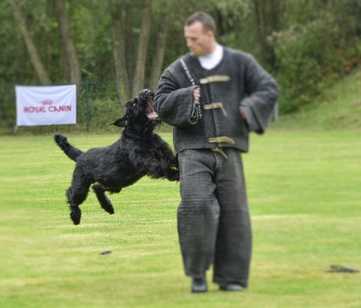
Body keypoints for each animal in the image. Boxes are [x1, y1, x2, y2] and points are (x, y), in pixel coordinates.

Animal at [54, 88, 178, 224]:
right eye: (133, 104)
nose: (146, 91)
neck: (144, 135)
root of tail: (81, 155)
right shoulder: (149, 163)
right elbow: (164, 168)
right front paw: (177, 175)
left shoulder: (167, 156)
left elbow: (173, 161)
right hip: (82, 185)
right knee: (71, 195)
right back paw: (75, 216)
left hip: (115, 183)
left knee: (97, 187)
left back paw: (108, 207)